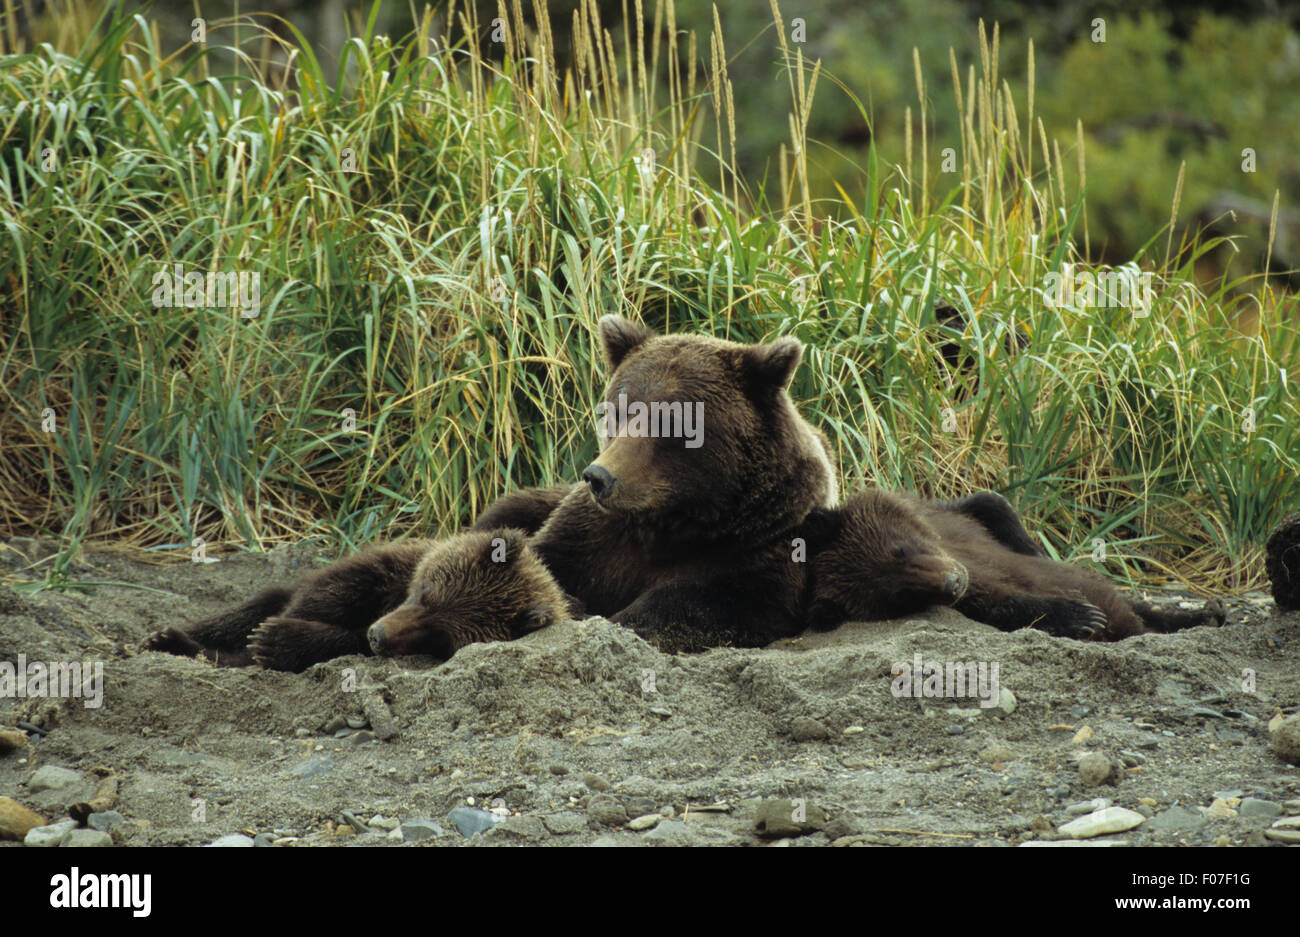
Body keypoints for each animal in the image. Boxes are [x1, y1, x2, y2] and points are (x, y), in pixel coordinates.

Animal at [140, 529, 569, 672]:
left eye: (441, 636)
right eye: (426, 593)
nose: (379, 634)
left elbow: (341, 640)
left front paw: (275, 642)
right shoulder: (388, 568)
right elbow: (326, 592)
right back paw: (165, 638)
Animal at [475, 314, 839, 653]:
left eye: (672, 421)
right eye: (619, 410)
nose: (599, 477)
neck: (675, 519)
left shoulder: (763, 540)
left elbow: (707, 601)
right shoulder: (592, 535)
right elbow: (540, 559)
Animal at [799, 488, 1226, 640]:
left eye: (899, 550)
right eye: (898, 595)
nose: (953, 581)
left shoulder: (948, 523)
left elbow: (989, 505)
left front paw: (1034, 548)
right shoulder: (978, 597)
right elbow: (1006, 603)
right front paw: (1081, 616)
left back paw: (1204, 613)